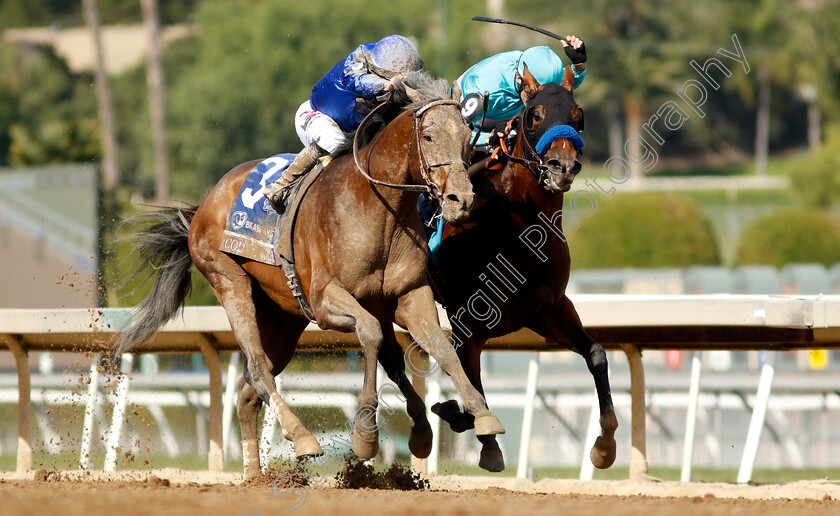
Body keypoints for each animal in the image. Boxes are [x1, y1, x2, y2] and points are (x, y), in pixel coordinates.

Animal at [114, 73, 502, 480]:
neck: (379, 208)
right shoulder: (326, 299)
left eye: (467, 136)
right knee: (258, 368)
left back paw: (255, 473)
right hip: (229, 280)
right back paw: (301, 437)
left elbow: (436, 346)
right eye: (427, 135)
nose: (461, 199)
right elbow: (371, 335)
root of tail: (203, 205)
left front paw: (478, 417)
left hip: (281, 319)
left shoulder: (409, 295)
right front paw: (365, 435)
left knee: (248, 392)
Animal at [426, 66, 616, 474]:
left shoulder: (549, 310)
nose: (562, 167)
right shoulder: (467, 322)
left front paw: (604, 446)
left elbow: (596, 354)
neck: (518, 229)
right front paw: (484, 443)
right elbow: (471, 386)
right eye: (535, 115)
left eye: (578, 115)